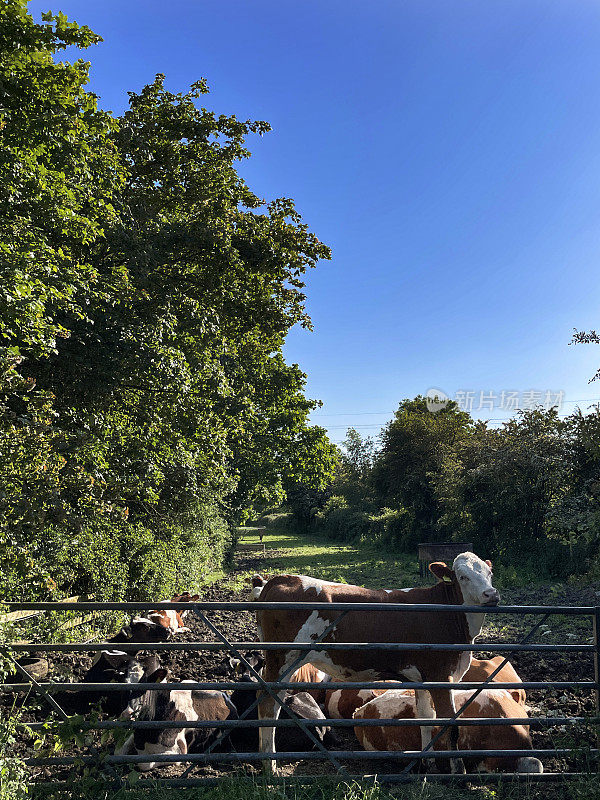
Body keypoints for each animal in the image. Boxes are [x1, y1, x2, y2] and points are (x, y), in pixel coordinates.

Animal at [251, 552, 500, 772]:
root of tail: (282, 578)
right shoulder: (441, 676)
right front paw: (459, 772)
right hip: (282, 658)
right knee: (268, 704)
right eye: (463, 576)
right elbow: (451, 725)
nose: (491, 594)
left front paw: (426, 764)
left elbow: (425, 719)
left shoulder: (423, 678)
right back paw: (269, 765)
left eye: (490, 573)